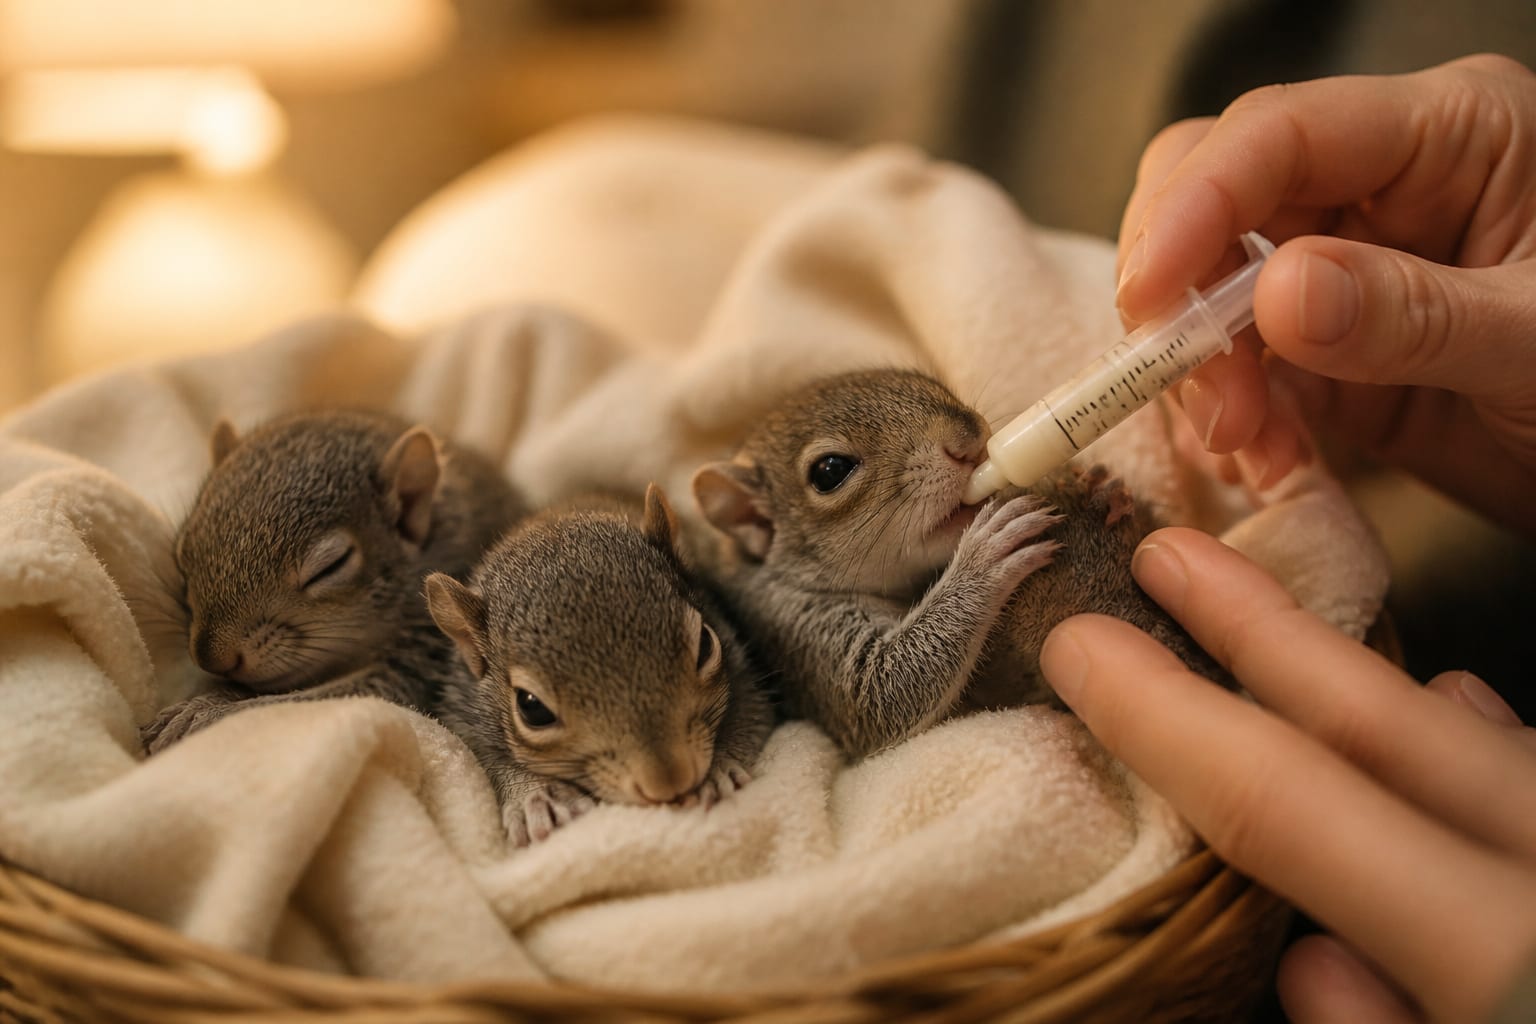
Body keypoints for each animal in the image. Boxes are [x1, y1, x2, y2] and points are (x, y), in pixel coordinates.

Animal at [425, 484, 774, 846]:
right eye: (531, 708)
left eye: (706, 644)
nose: (670, 781)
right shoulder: (462, 712)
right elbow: (486, 761)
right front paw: (535, 798)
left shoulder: (741, 663)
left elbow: (748, 714)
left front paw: (716, 773)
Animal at [690, 368, 1223, 759]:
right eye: (829, 472)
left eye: (922, 379)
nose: (968, 440)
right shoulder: (798, 632)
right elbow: (881, 690)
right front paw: (985, 555)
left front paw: (1102, 482)